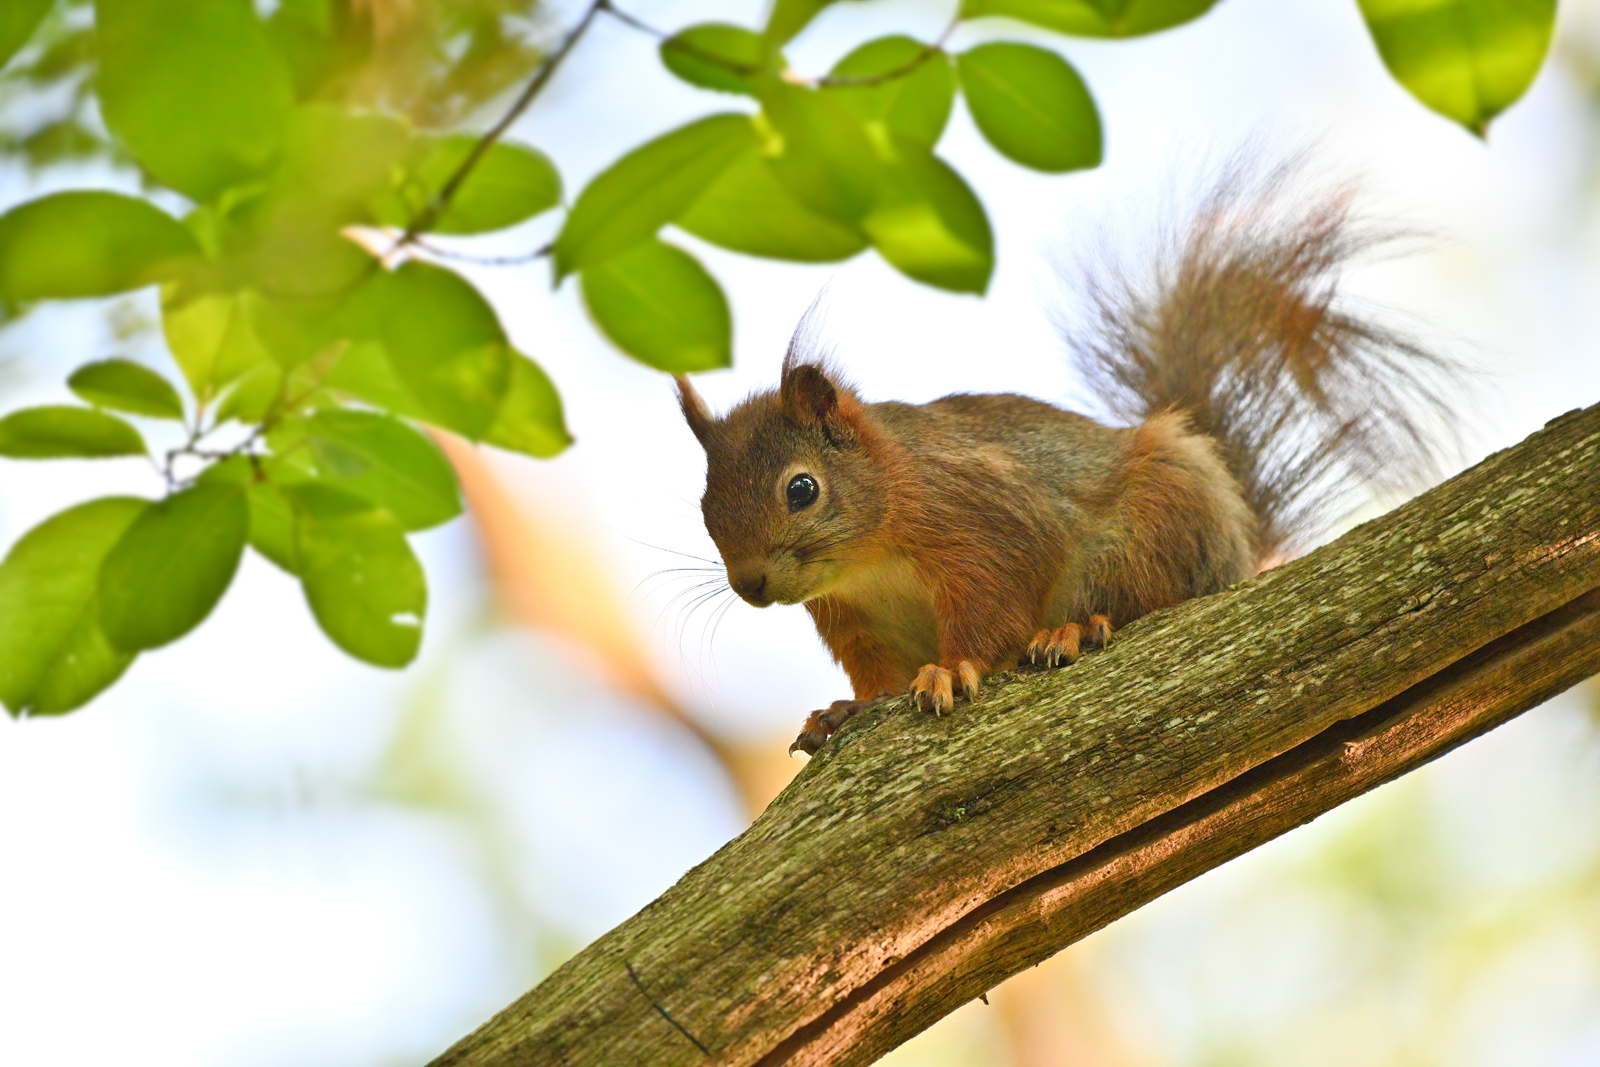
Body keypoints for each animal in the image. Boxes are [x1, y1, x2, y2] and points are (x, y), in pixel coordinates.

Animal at [668, 163, 1459, 755]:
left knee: (1145, 596)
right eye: (703, 508)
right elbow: (878, 678)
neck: (873, 553)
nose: (751, 585)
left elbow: (993, 603)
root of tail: (1239, 543)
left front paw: (952, 667)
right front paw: (847, 710)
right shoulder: (856, 619)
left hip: (1148, 525)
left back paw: (1074, 629)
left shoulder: (983, 518)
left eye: (801, 489)